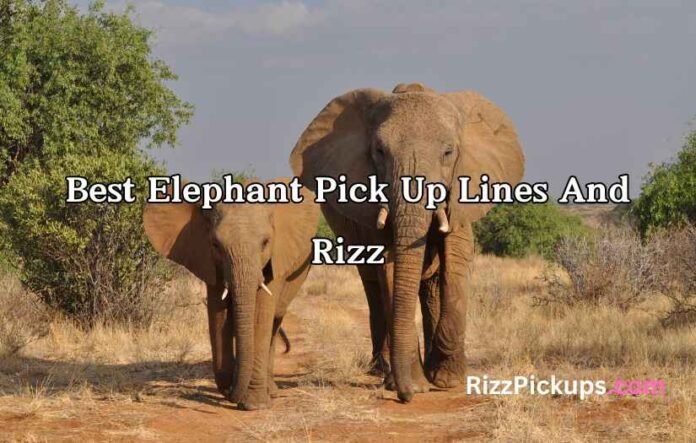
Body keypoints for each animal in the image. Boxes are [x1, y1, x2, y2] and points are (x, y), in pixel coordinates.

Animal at [143, 177, 319, 410]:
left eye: (265, 242)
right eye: (216, 244)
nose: (230, 394)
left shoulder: (277, 257)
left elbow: (261, 314)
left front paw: (253, 405)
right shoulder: (207, 258)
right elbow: (218, 314)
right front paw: (232, 390)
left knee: (274, 320)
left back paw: (270, 391)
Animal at [290, 82, 524, 403]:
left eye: (448, 152)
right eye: (379, 151)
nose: (406, 396)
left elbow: (456, 261)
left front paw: (446, 379)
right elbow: (390, 268)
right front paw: (414, 383)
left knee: (431, 286)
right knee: (373, 286)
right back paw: (382, 370)